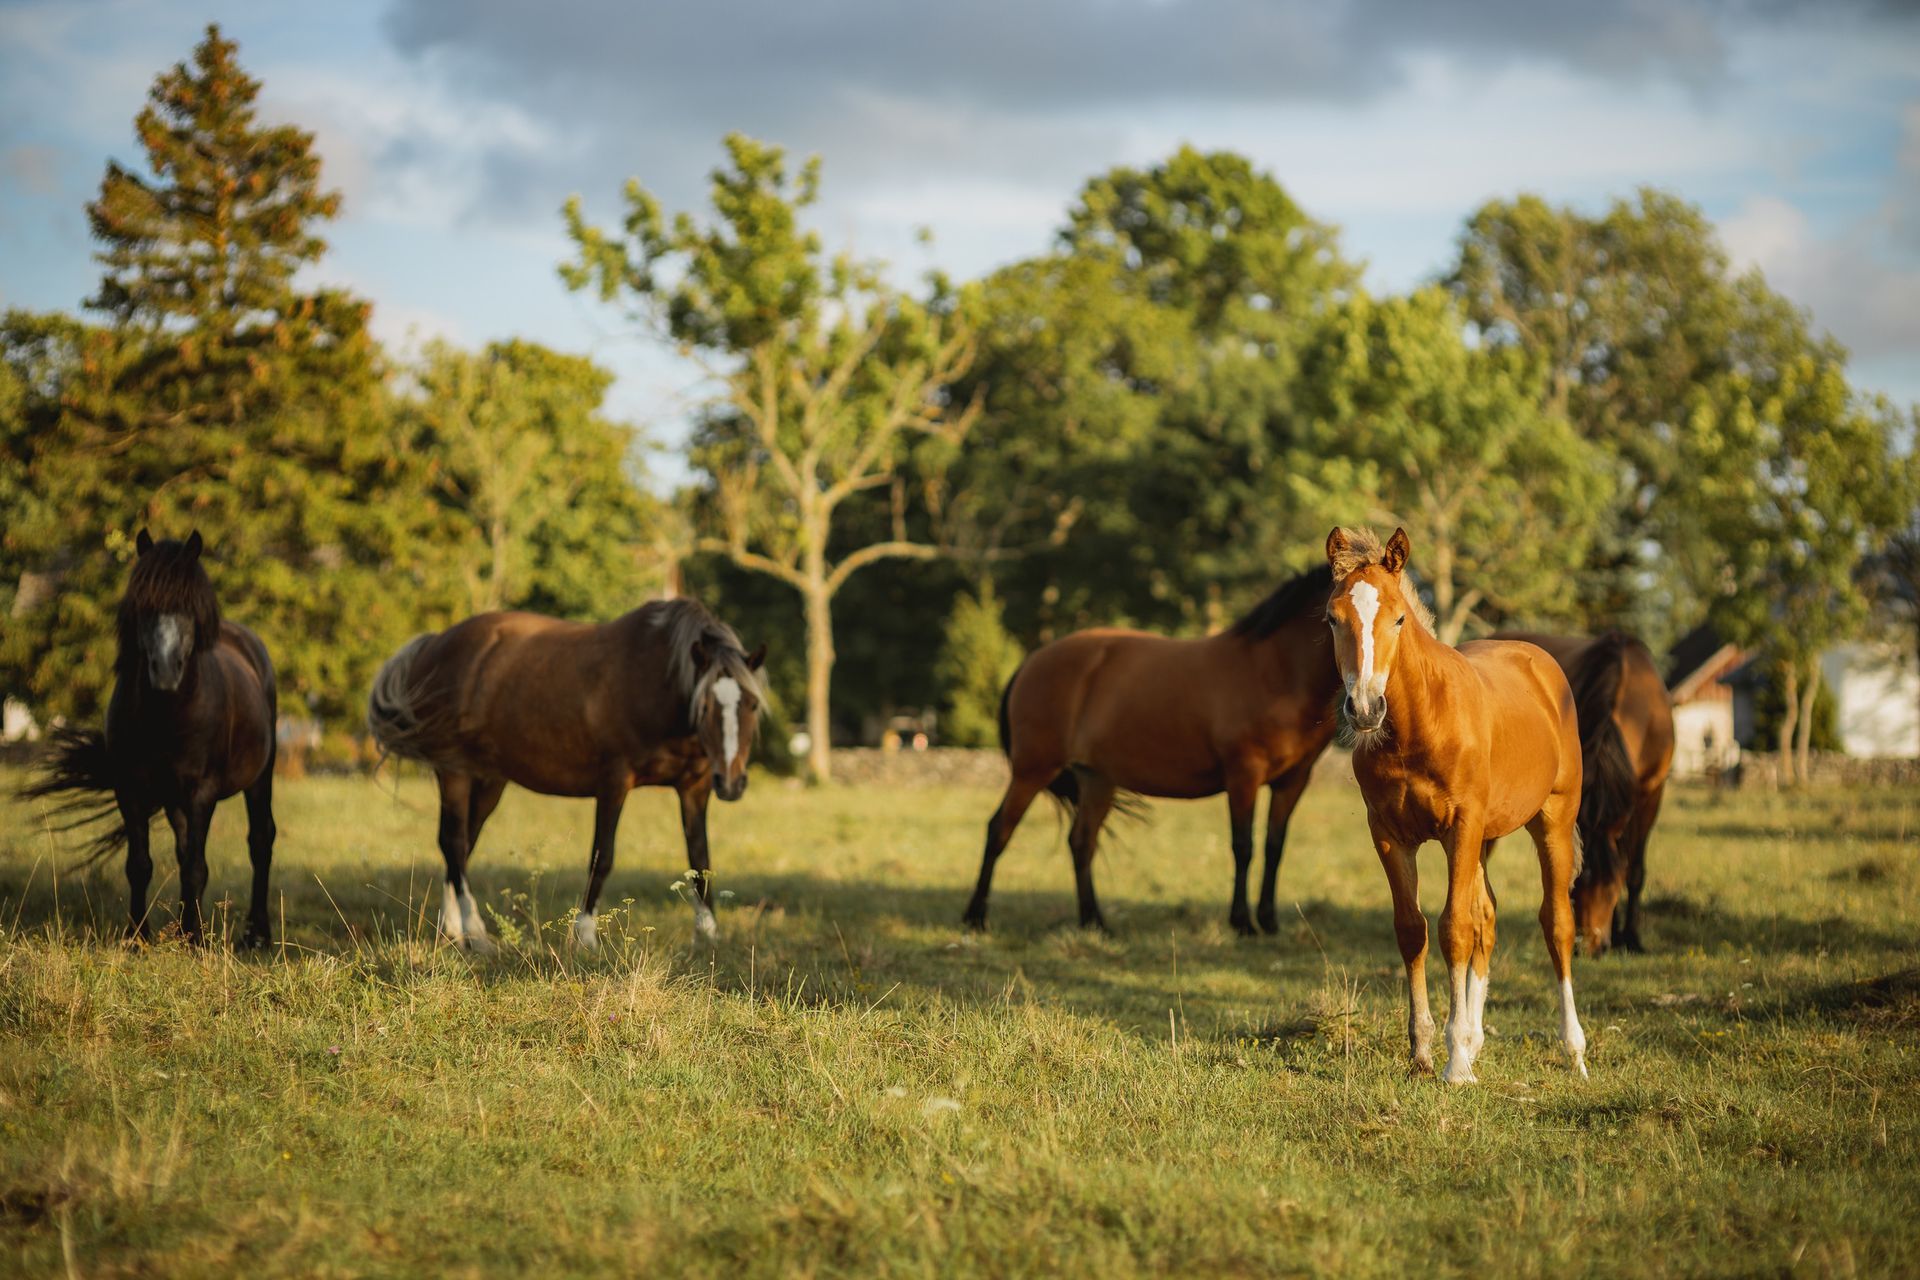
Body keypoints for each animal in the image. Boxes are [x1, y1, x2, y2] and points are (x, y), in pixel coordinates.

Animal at [21, 530, 279, 947]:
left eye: (188, 608)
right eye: (144, 607)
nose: (165, 670)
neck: (168, 716)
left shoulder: (202, 792)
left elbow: (196, 867)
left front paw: (195, 940)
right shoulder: (131, 788)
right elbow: (141, 865)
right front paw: (138, 937)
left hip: (260, 777)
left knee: (259, 841)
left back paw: (255, 933)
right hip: (175, 800)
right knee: (184, 847)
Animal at [366, 597, 766, 951]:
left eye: (751, 704)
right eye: (705, 705)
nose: (732, 783)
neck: (654, 682)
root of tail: (433, 643)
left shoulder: (695, 788)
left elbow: (700, 859)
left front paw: (708, 933)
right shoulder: (614, 782)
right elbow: (602, 857)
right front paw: (585, 934)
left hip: (489, 779)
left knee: (461, 846)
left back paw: (452, 929)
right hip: (455, 770)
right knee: (454, 842)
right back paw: (475, 932)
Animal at [963, 565, 1340, 936]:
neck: (1274, 670)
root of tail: (1031, 662)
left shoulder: (1294, 780)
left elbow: (1275, 846)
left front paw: (1269, 921)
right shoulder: (1243, 775)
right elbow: (1243, 846)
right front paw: (1243, 923)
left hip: (1096, 779)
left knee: (1081, 842)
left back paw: (1094, 922)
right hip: (1033, 770)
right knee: (999, 830)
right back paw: (975, 918)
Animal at [1324, 527, 1587, 1083]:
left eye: (1398, 618)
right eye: (1332, 619)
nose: (1365, 709)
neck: (1419, 726)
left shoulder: (1460, 827)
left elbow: (1454, 929)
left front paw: (1456, 1063)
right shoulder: (1388, 834)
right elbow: (1415, 929)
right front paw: (1425, 1050)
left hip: (1552, 819)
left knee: (1556, 922)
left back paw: (1574, 1051)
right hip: (1486, 838)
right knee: (1487, 916)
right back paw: (1477, 1037)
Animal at [1493, 631, 1674, 955]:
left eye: (1611, 885)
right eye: (1576, 884)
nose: (1587, 946)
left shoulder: (1650, 794)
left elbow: (1633, 869)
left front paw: (1630, 937)